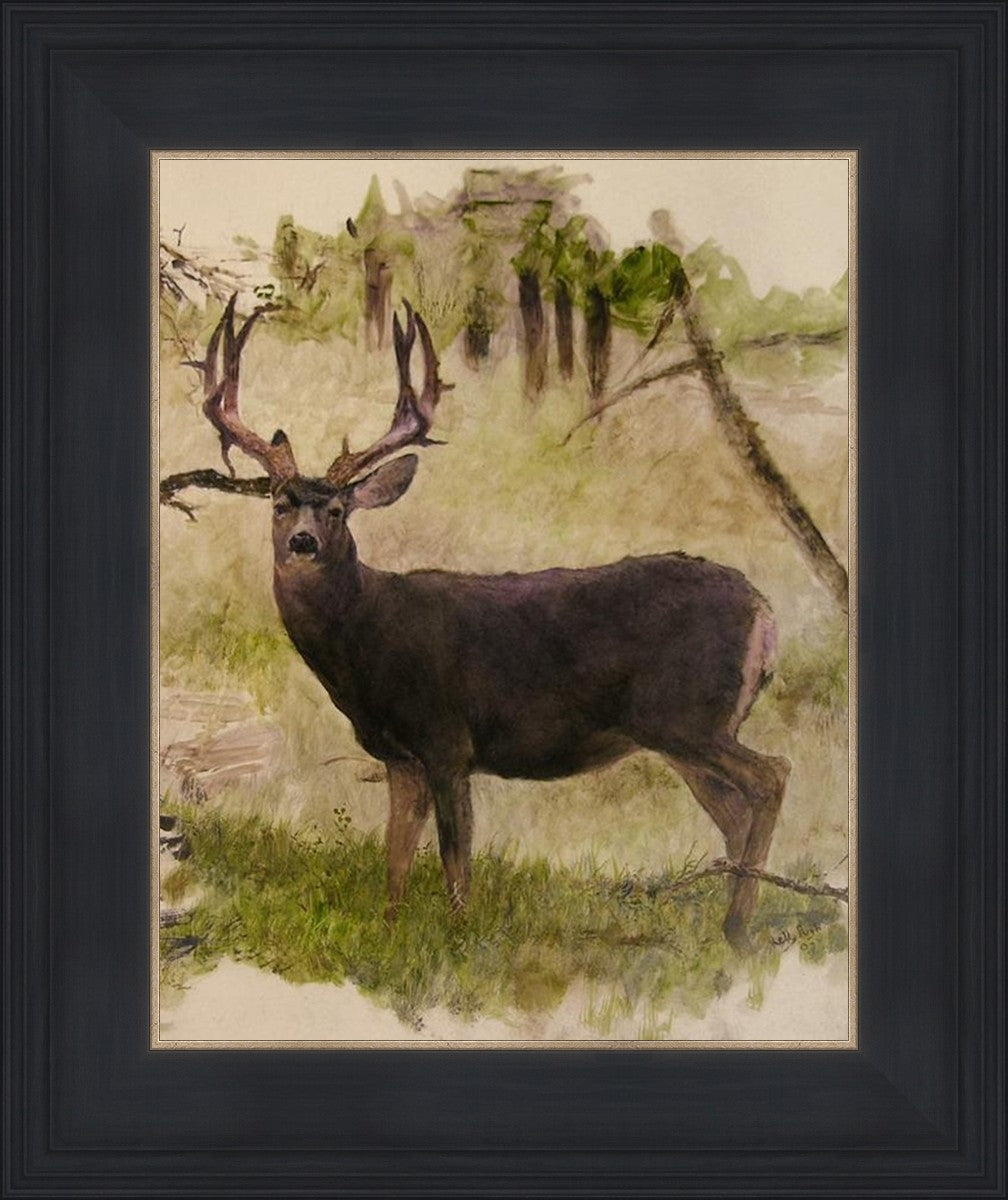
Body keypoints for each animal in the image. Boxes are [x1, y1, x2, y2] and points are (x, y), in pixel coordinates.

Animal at [188, 294, 789, 951]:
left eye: (338, 510)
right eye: (280, 504)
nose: (303, 542)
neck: (367, 642)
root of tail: (765, 611)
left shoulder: (448, 739)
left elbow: (456, 862)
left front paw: (455, 940)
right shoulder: (401, 758)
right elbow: (395, 859)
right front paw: (391, 934)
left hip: (687, 714)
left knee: (771, 775)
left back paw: (738, 926)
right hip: (679, 730)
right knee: (734, 812)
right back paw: (732, 927)